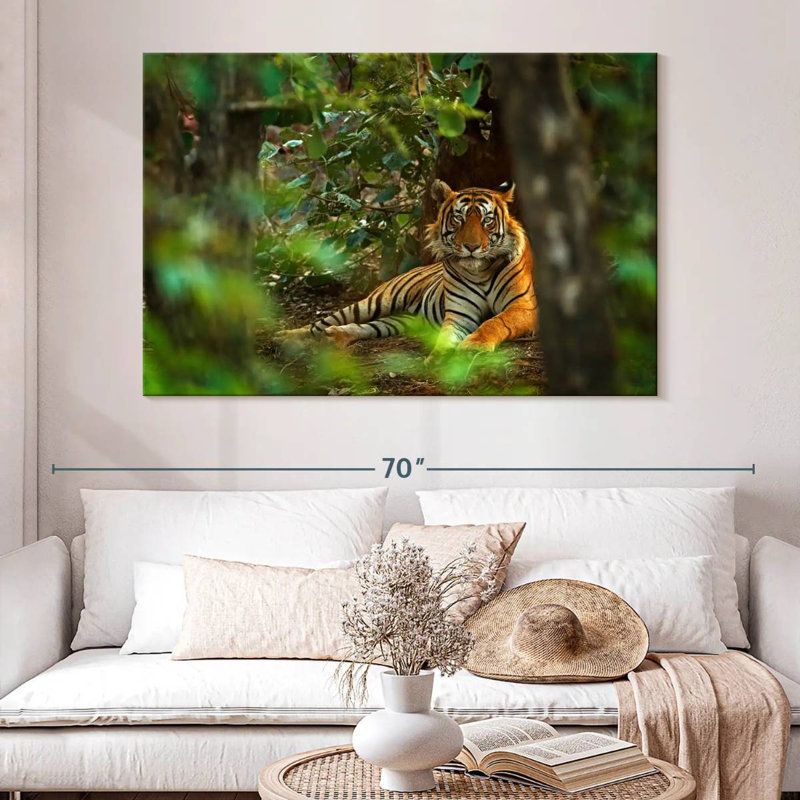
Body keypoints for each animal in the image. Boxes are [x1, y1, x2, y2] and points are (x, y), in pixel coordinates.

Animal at [278, 180, 537, 354]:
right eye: (458, 219)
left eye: (487, 221)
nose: (471, 247)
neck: (480, 270)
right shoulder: (459, 314)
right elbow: (446, 336)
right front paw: (439, 358)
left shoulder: (524, 307)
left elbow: (494, 322)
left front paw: (474, 346)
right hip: (375, 302)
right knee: (321, 323)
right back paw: (285, 337)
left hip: (401, 320)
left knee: (367, 327)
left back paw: (335, 337)